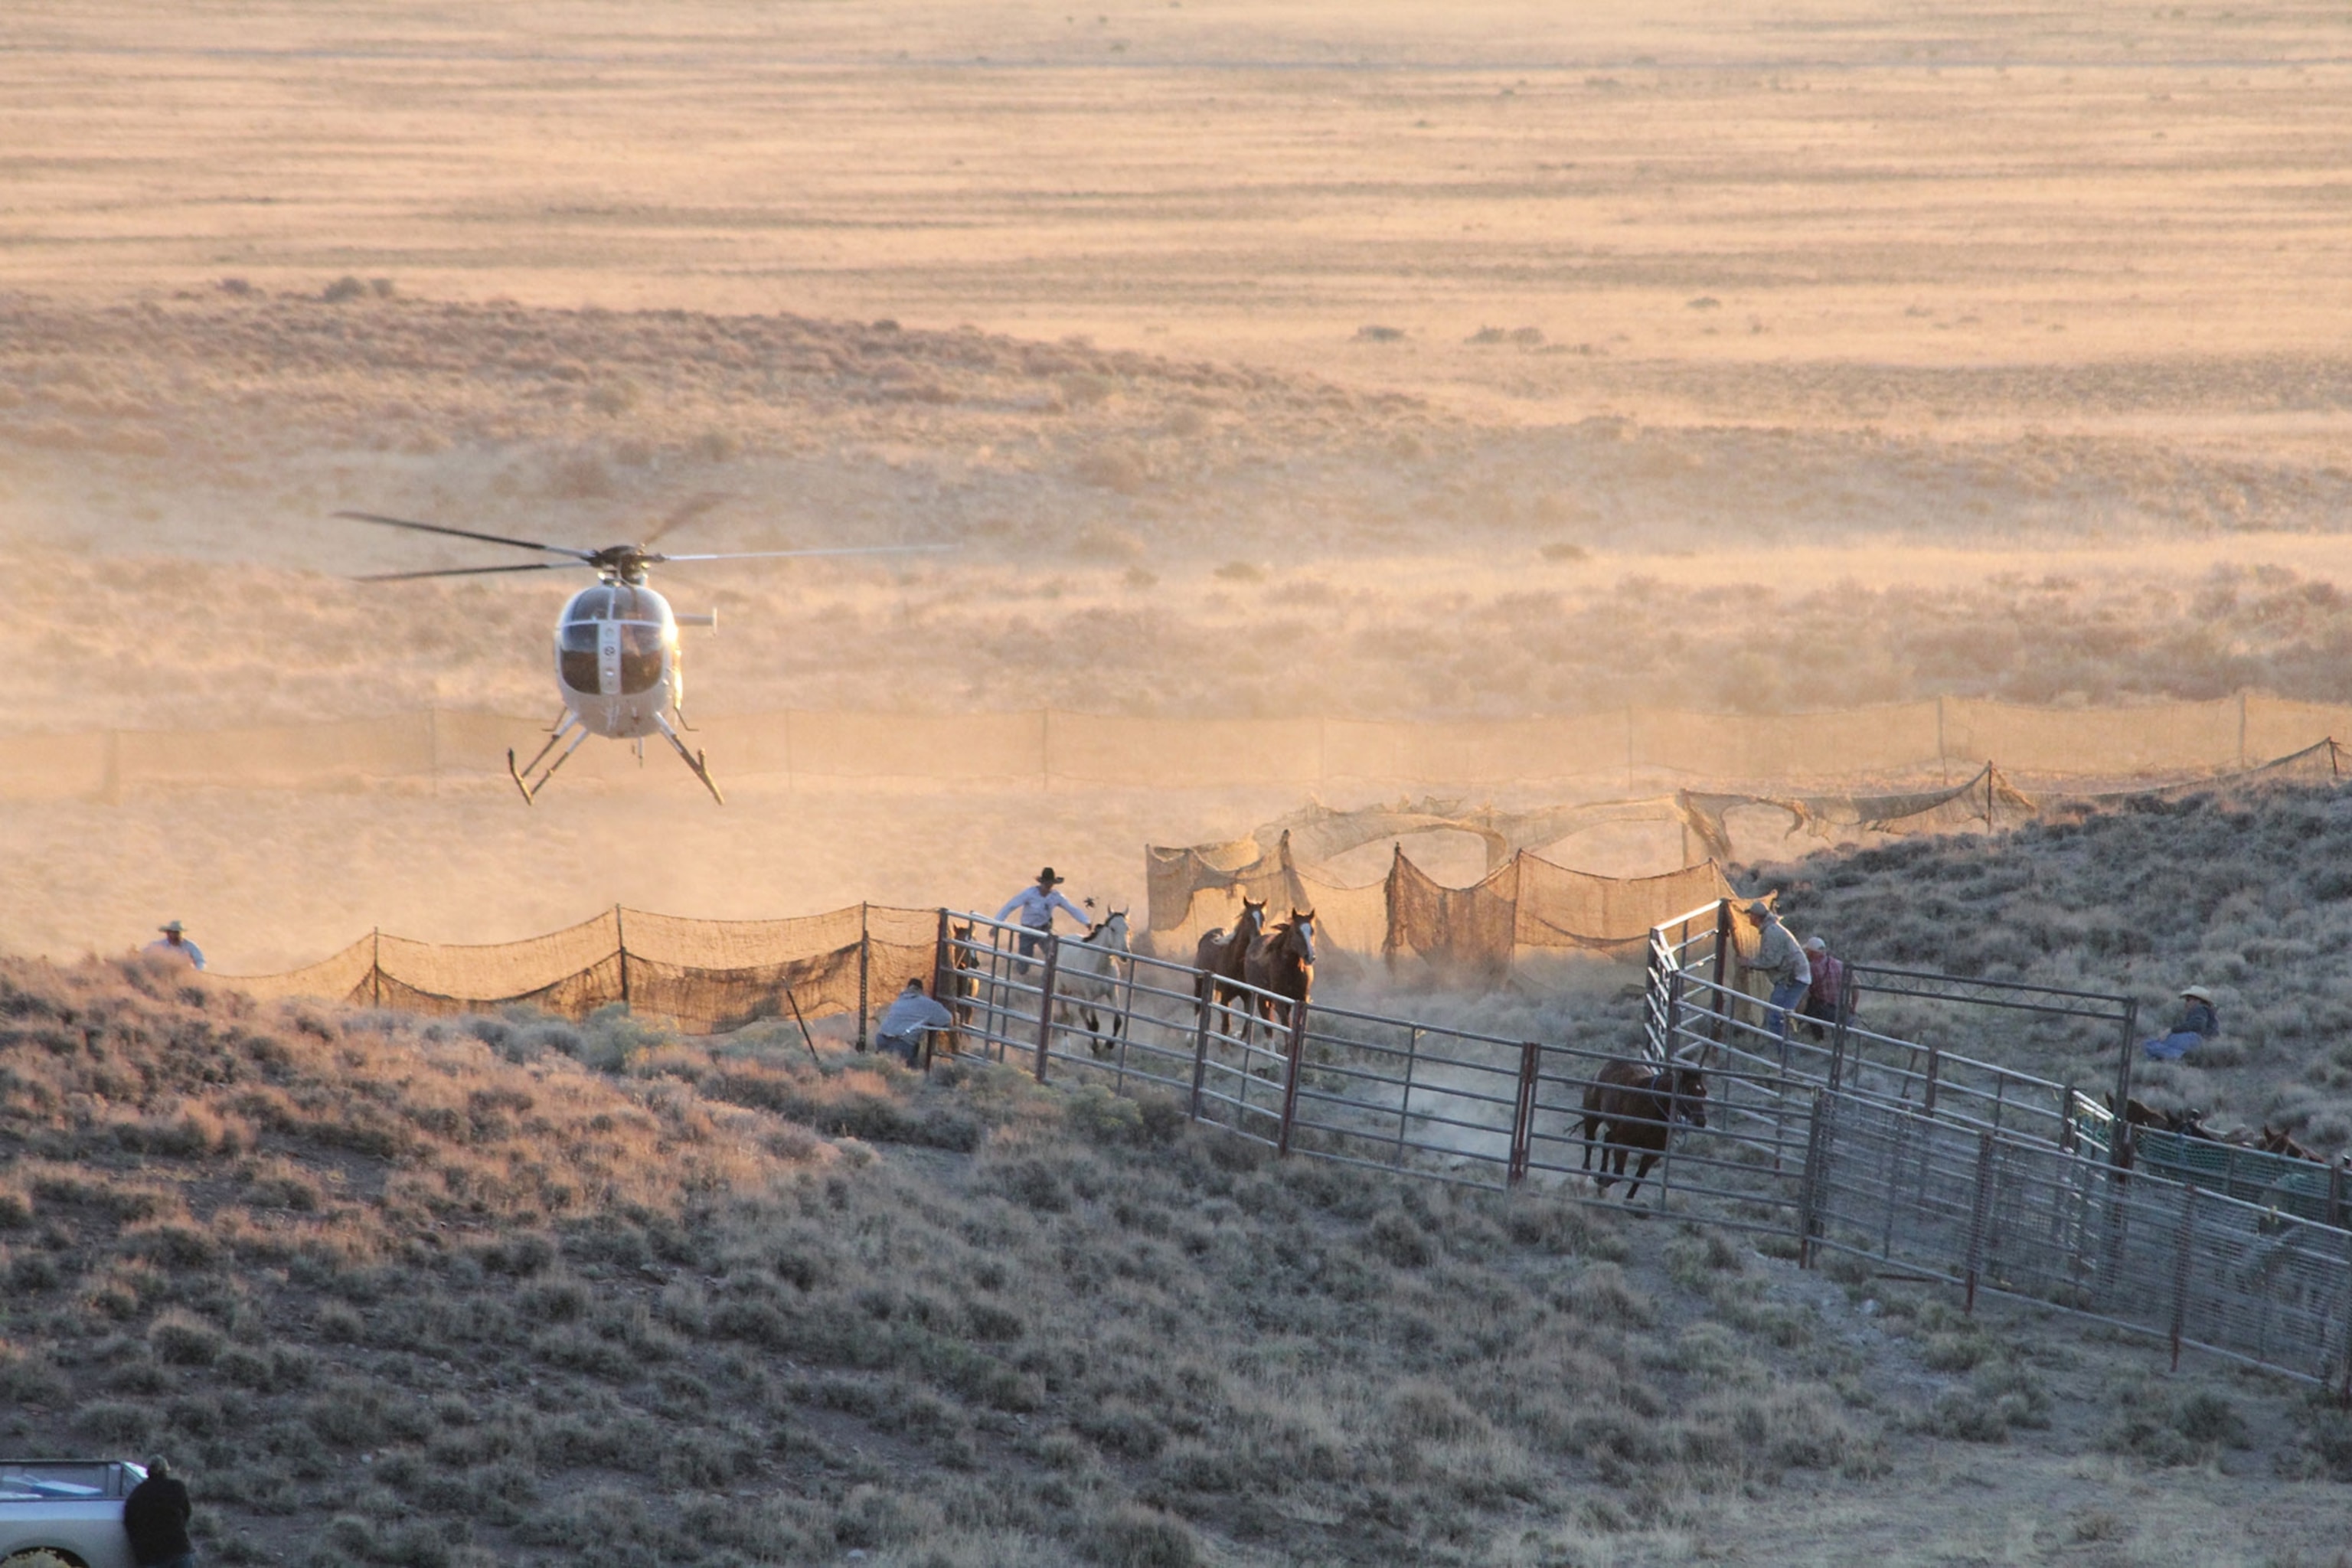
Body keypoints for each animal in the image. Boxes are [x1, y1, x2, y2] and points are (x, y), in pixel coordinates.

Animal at [1054, 911, 1132, 1056]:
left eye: (1127, 929)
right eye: (1112, 929)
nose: (1125, 954)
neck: (1101, 966)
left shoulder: (1112, 992)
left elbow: (1118, 1021)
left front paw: (1109, 1044)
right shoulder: (1091, 995)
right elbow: (1095, 1024)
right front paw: (1096, 1047)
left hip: (1082, 995)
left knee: (1081, 1011)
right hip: (1062, 991)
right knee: (1065, 1017)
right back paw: (1066, 1046)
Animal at [1242, 908, 1316, 1042]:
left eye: (1312, 931)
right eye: (1297, 931)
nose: (1310, 956)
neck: (1291, 969)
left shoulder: (1302, 1000)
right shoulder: (1279, 1002)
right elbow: (1287, 1029)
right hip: (1262, 999)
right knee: (1269, 1030)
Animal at [1580, 1053, 1709, 1203]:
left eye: (1704, 1092)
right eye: (1688, 1092)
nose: (1701, 1121)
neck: (1652, 1108)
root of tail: (1605, 1067)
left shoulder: (1653, 1153)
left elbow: (1639, 1177)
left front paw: (1629, 1199)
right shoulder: (1623, 1143)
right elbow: (1618, 1174)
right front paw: (1602, 1183)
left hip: (1615, 1129)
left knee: (1607, 1140)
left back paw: (1601, 1174)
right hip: (1593, 1116)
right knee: (1589, 1140)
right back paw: (1587, 1170)